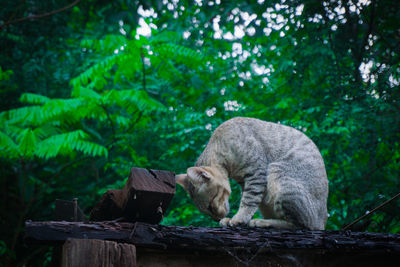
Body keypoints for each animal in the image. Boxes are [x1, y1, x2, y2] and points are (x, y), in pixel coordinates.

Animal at [177, 117, 330, 230]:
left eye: (209, 206)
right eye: (205, 210)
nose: (216, 219)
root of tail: (322, 221)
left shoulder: (257, 172)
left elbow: (248, 200)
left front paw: (238, 219)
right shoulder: (245, 181)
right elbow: (247, 199)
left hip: (278, 172)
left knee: (302, 225)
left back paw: (263, 222)